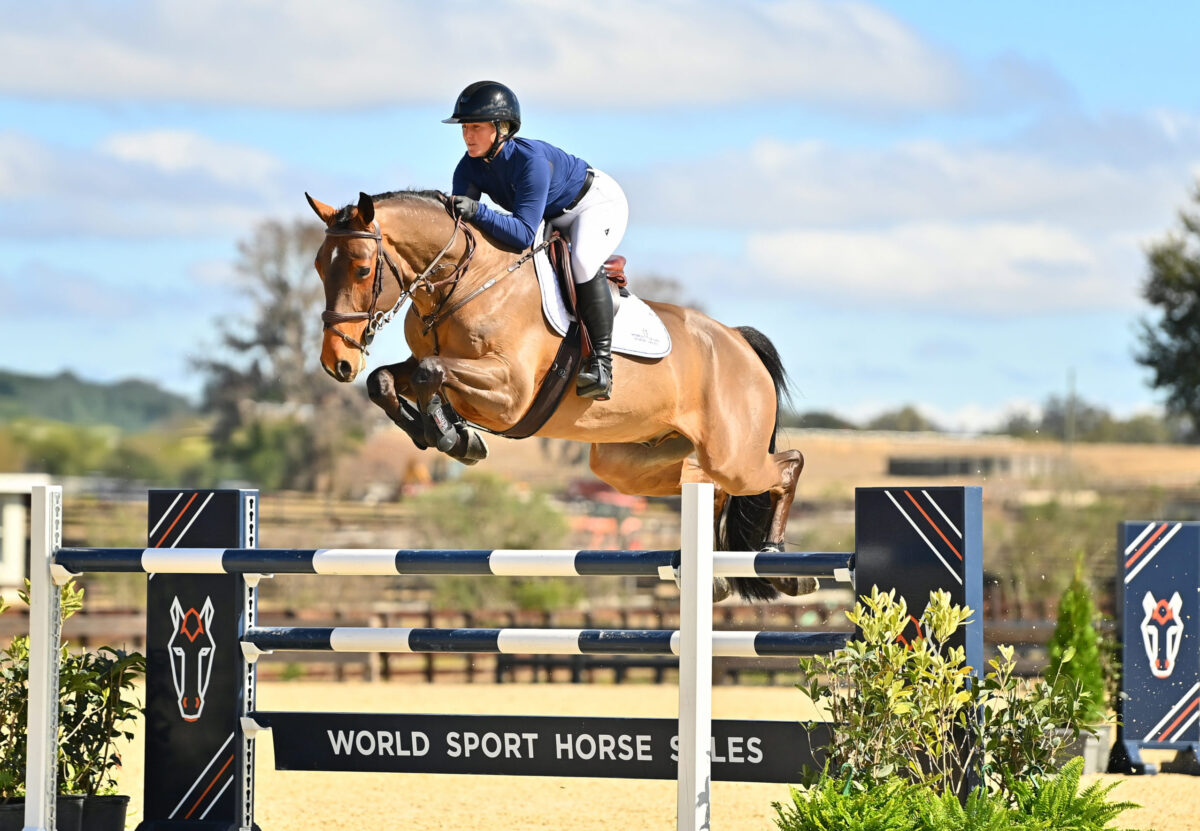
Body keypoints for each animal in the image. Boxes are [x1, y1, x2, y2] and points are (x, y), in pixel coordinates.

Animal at [305, 190, 807, 601]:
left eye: (362, 268)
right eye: (318, 266)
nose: (337, 362)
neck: (469, 282)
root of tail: (738, 342)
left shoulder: (509, 395)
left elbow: (433, 373)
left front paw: (455, 436)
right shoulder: (433, 367)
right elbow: (385, 381)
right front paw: (441, 434)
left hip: (733, 455)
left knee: (786, 465)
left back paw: (777, 560)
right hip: (629, 463)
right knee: (705, 482)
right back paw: (718, 576)